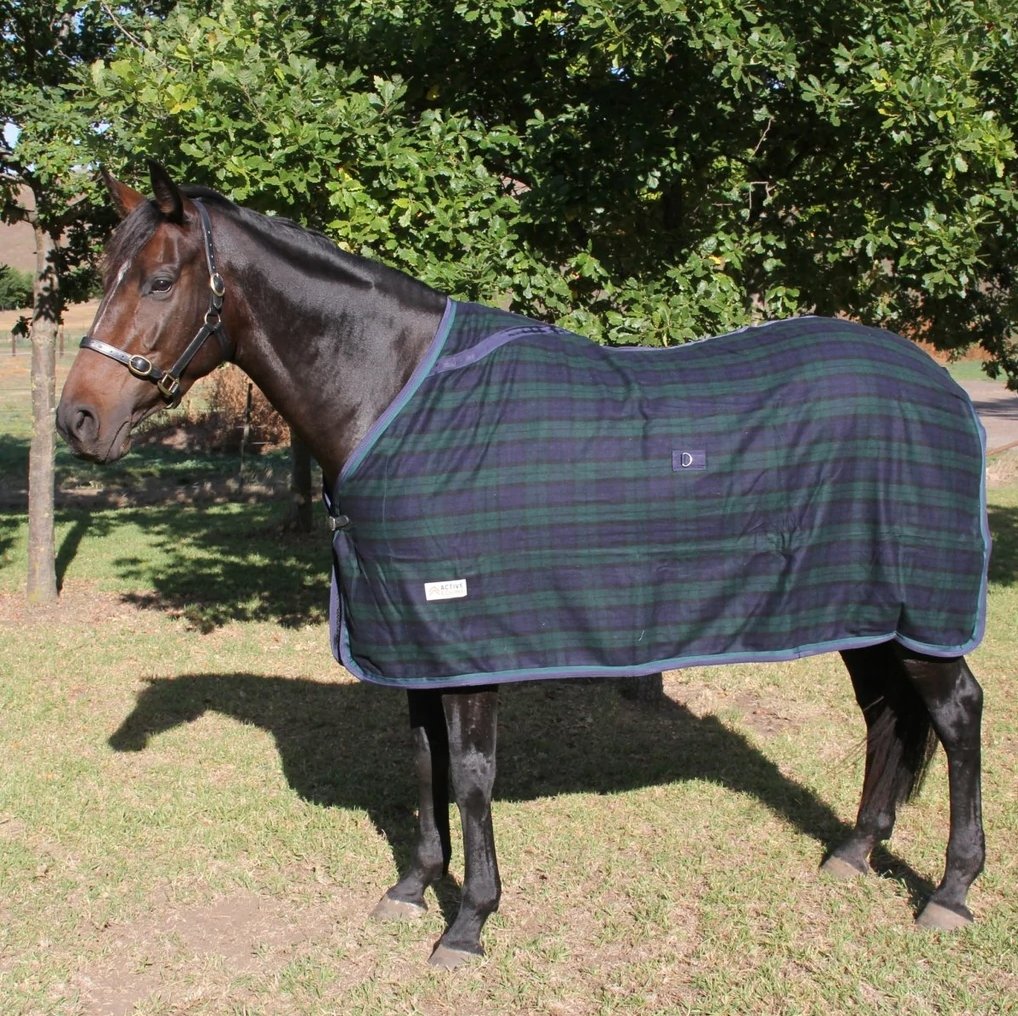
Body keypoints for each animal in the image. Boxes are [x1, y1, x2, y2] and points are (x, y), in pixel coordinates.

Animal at [56, 162, 988, 968]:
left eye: (160, 280)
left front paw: (469, 923)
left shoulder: (467, 640)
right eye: (105, 271)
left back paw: (949, 892)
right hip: (867, 611)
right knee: (885, 715)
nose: (78, 419)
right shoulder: (414, 642)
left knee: (957, 715)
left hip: (922, 613)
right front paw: (413, 887)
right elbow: (422, 761)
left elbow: (470, 776)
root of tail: (945, 388)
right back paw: (854, 851)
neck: (393, 395)